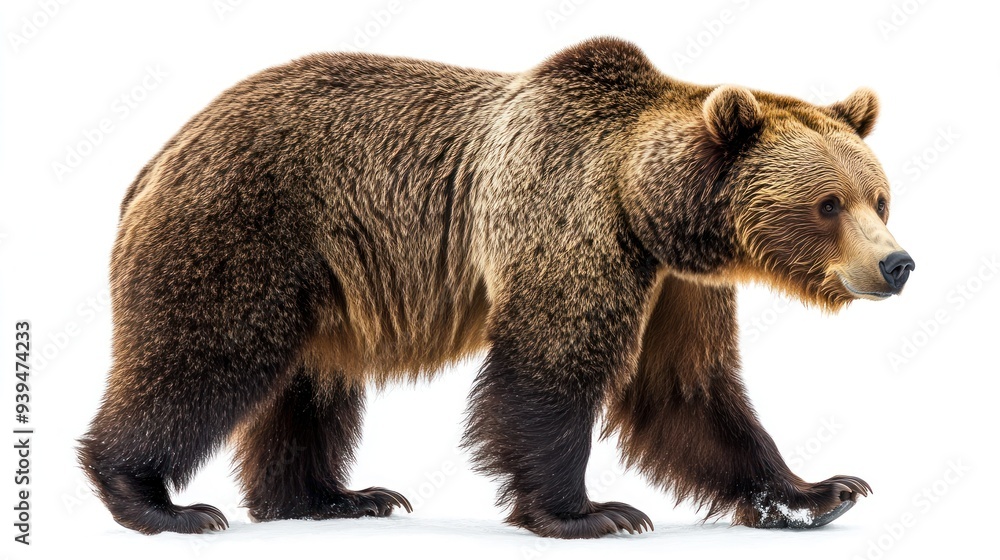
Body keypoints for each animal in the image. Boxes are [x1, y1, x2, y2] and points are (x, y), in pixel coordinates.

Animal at [78, 37, 914, 538]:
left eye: (878, 198)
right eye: (828, 203)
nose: (897, 264)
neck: (652, 210)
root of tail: (156, 157)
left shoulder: (679, 285)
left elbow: (689, 390)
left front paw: (820, 491)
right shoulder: (572, 219)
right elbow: (549, 368)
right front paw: (593, 512)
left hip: (324, 284)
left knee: (311, 387)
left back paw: (335, 498)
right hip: (244, 227)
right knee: (202, 355)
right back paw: (156, 499)